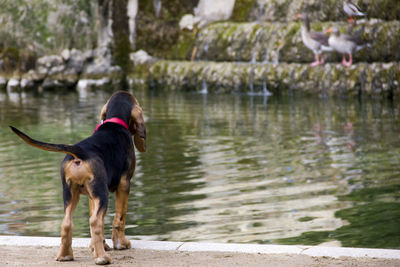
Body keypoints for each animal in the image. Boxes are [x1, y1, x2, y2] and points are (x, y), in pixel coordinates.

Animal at [10, 90, 146, 266]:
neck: (114, 121)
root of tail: (80, 152)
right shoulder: (124, 184)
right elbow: (120, 217)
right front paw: (121, 244)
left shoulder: (91, 195)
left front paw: (97, 247)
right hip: (101, 193)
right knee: (95, 222)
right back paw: (102, 259)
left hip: (71, 192)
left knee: (67, 223)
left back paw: (65, 255)